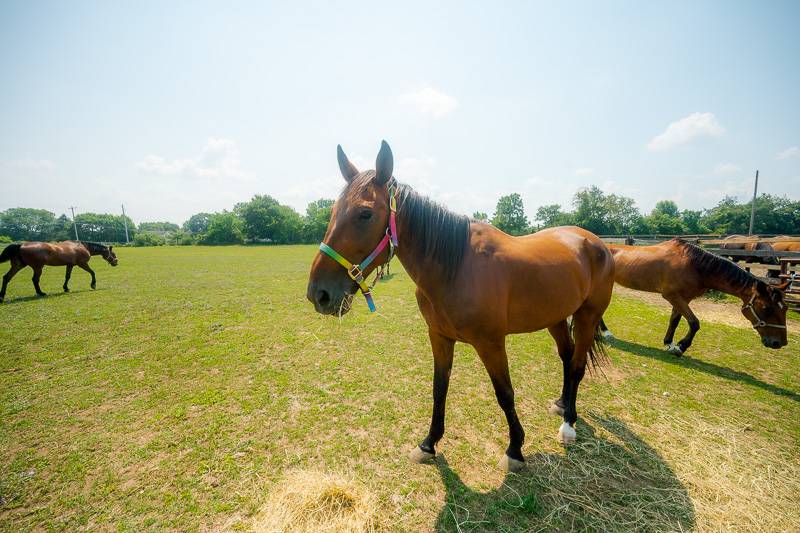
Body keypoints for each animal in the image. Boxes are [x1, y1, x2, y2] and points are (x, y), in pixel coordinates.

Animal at [304, 140, 612, 470]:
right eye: (333, 211)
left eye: (364, 213)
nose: (319, 294)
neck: (457, 266)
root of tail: (594, 241)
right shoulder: (439, 336)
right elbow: (439, 388)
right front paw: (428, 443)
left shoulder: (491, 343)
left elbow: (504, 393)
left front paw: (515, 449)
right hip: (555, 317)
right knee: (567, 357)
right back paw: (562, 404)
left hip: (587, 316)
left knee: (577, 365)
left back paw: (569, 424)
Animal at [600, 239, 788, 356]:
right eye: (766, 309)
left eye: (785, 308)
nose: (779, 343)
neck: (695, 265)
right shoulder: (672, 296)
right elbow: (694, 322)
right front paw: (681, 347)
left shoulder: (684, 298)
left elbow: (675, 320)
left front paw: (669, 343)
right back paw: (606, 333)